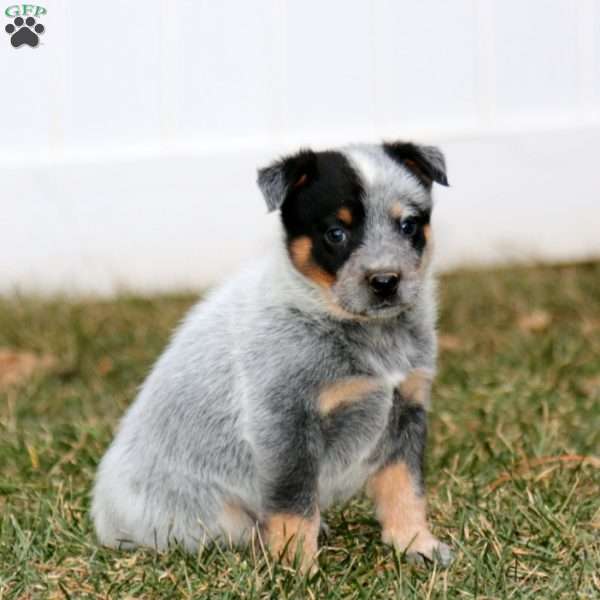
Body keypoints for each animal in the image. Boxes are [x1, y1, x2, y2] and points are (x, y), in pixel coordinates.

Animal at [91, 138, 452, 568]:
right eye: (336, 233)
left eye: (408, 225)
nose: (385, 281)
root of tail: (102, 517)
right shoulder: (285, 424)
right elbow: (293, 504)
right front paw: (296, 566)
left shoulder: (407, 409)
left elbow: (406, 488)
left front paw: (416, 544)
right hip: (216, 518)